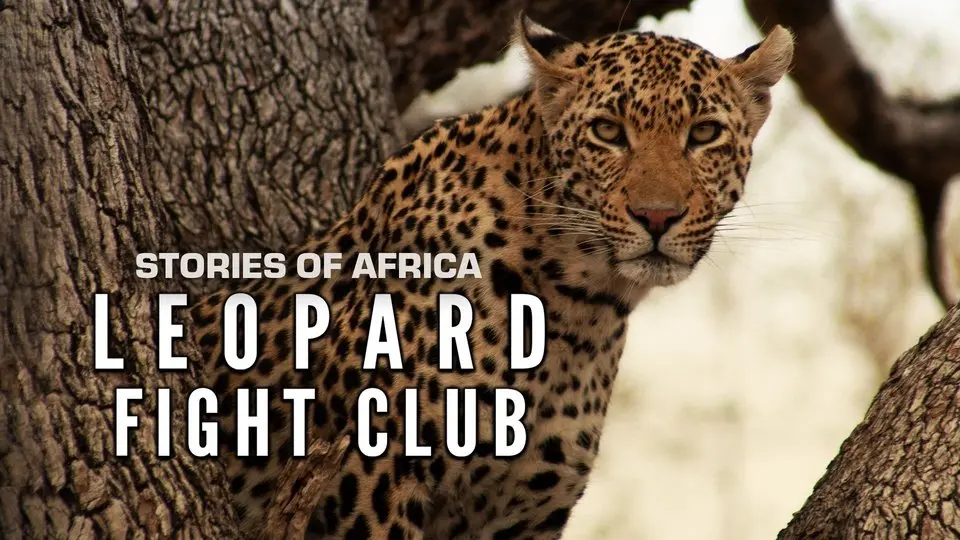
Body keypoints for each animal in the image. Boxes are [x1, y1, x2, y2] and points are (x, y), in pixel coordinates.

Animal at [191, 13, 794, 539]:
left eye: (705, 133)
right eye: (607, 132)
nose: (658, 216)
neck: (580, 307)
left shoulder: (524, 511)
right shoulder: (369, 479)